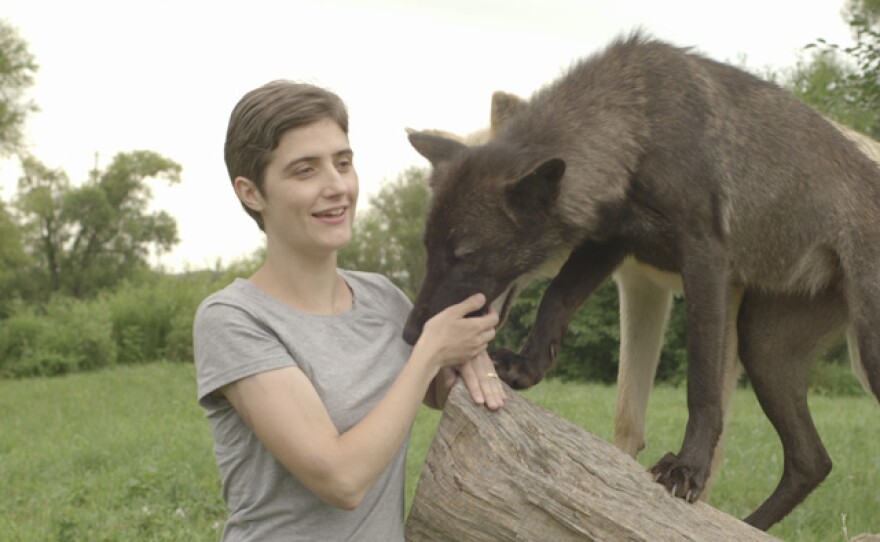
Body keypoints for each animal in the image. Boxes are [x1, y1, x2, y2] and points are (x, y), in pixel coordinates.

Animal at [400, 33, 880, 532]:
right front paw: (526, 368)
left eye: (465, 255)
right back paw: (752, 524)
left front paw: (687, 469)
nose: (412, 334)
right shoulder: (611, 248)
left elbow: (702, 386)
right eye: (428, 247)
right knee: (812, 461)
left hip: (863, 355)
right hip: (765, 349)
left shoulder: (706, 262)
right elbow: (556, 300)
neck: (639, 123)